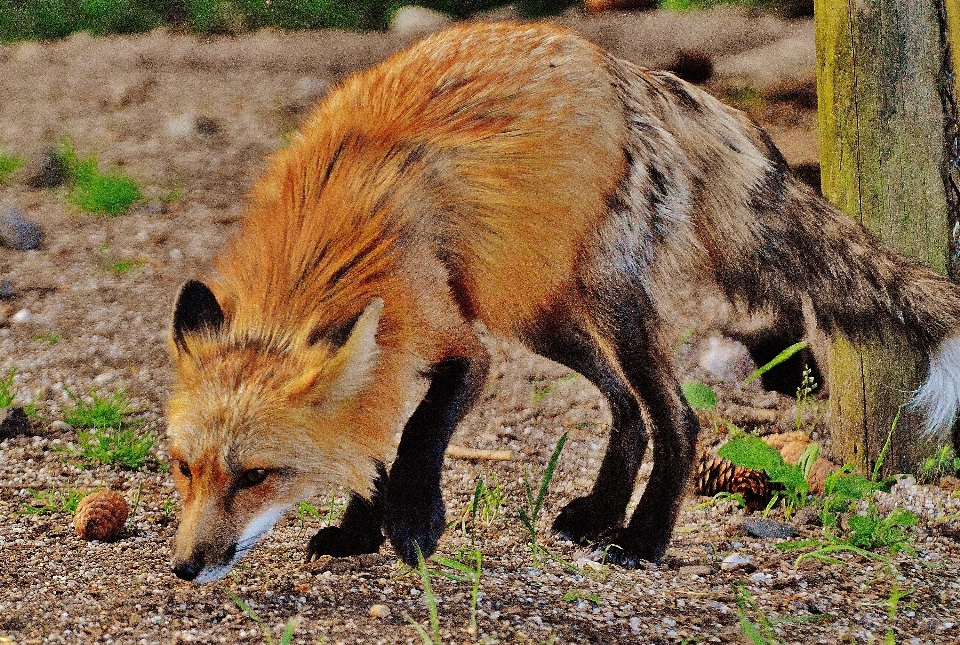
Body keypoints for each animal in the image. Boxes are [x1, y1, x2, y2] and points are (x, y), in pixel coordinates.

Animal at [169, 22, 960, 580]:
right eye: (183, 468)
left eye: (256, 475)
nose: (185, 565)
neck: (327, 246)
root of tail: (628, 70)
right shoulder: (386, 352)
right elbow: (371, 442)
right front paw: (362, 529)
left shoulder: (460, 347)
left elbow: (416, 434)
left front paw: (415, 524)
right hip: (540, 312)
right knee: (628, 412)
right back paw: (602, 516)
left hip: (607, 305)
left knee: (677, 418)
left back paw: (643, 539)